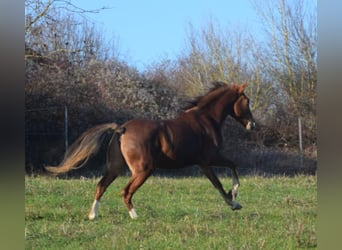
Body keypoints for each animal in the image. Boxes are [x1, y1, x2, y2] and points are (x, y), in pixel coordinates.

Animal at [45, 81, 255, 219]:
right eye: (247, 101)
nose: (252, 125)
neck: (206, 119)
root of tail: (121, 129)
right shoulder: (209, 159)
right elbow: (228, 172)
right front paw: (234, 199)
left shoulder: (203, 164)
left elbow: (219, 181)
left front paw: (233, 201)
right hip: (143, 170)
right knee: (125, 191)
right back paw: (135, 216)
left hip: (115, 167)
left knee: (101, 185)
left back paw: (93, 215)